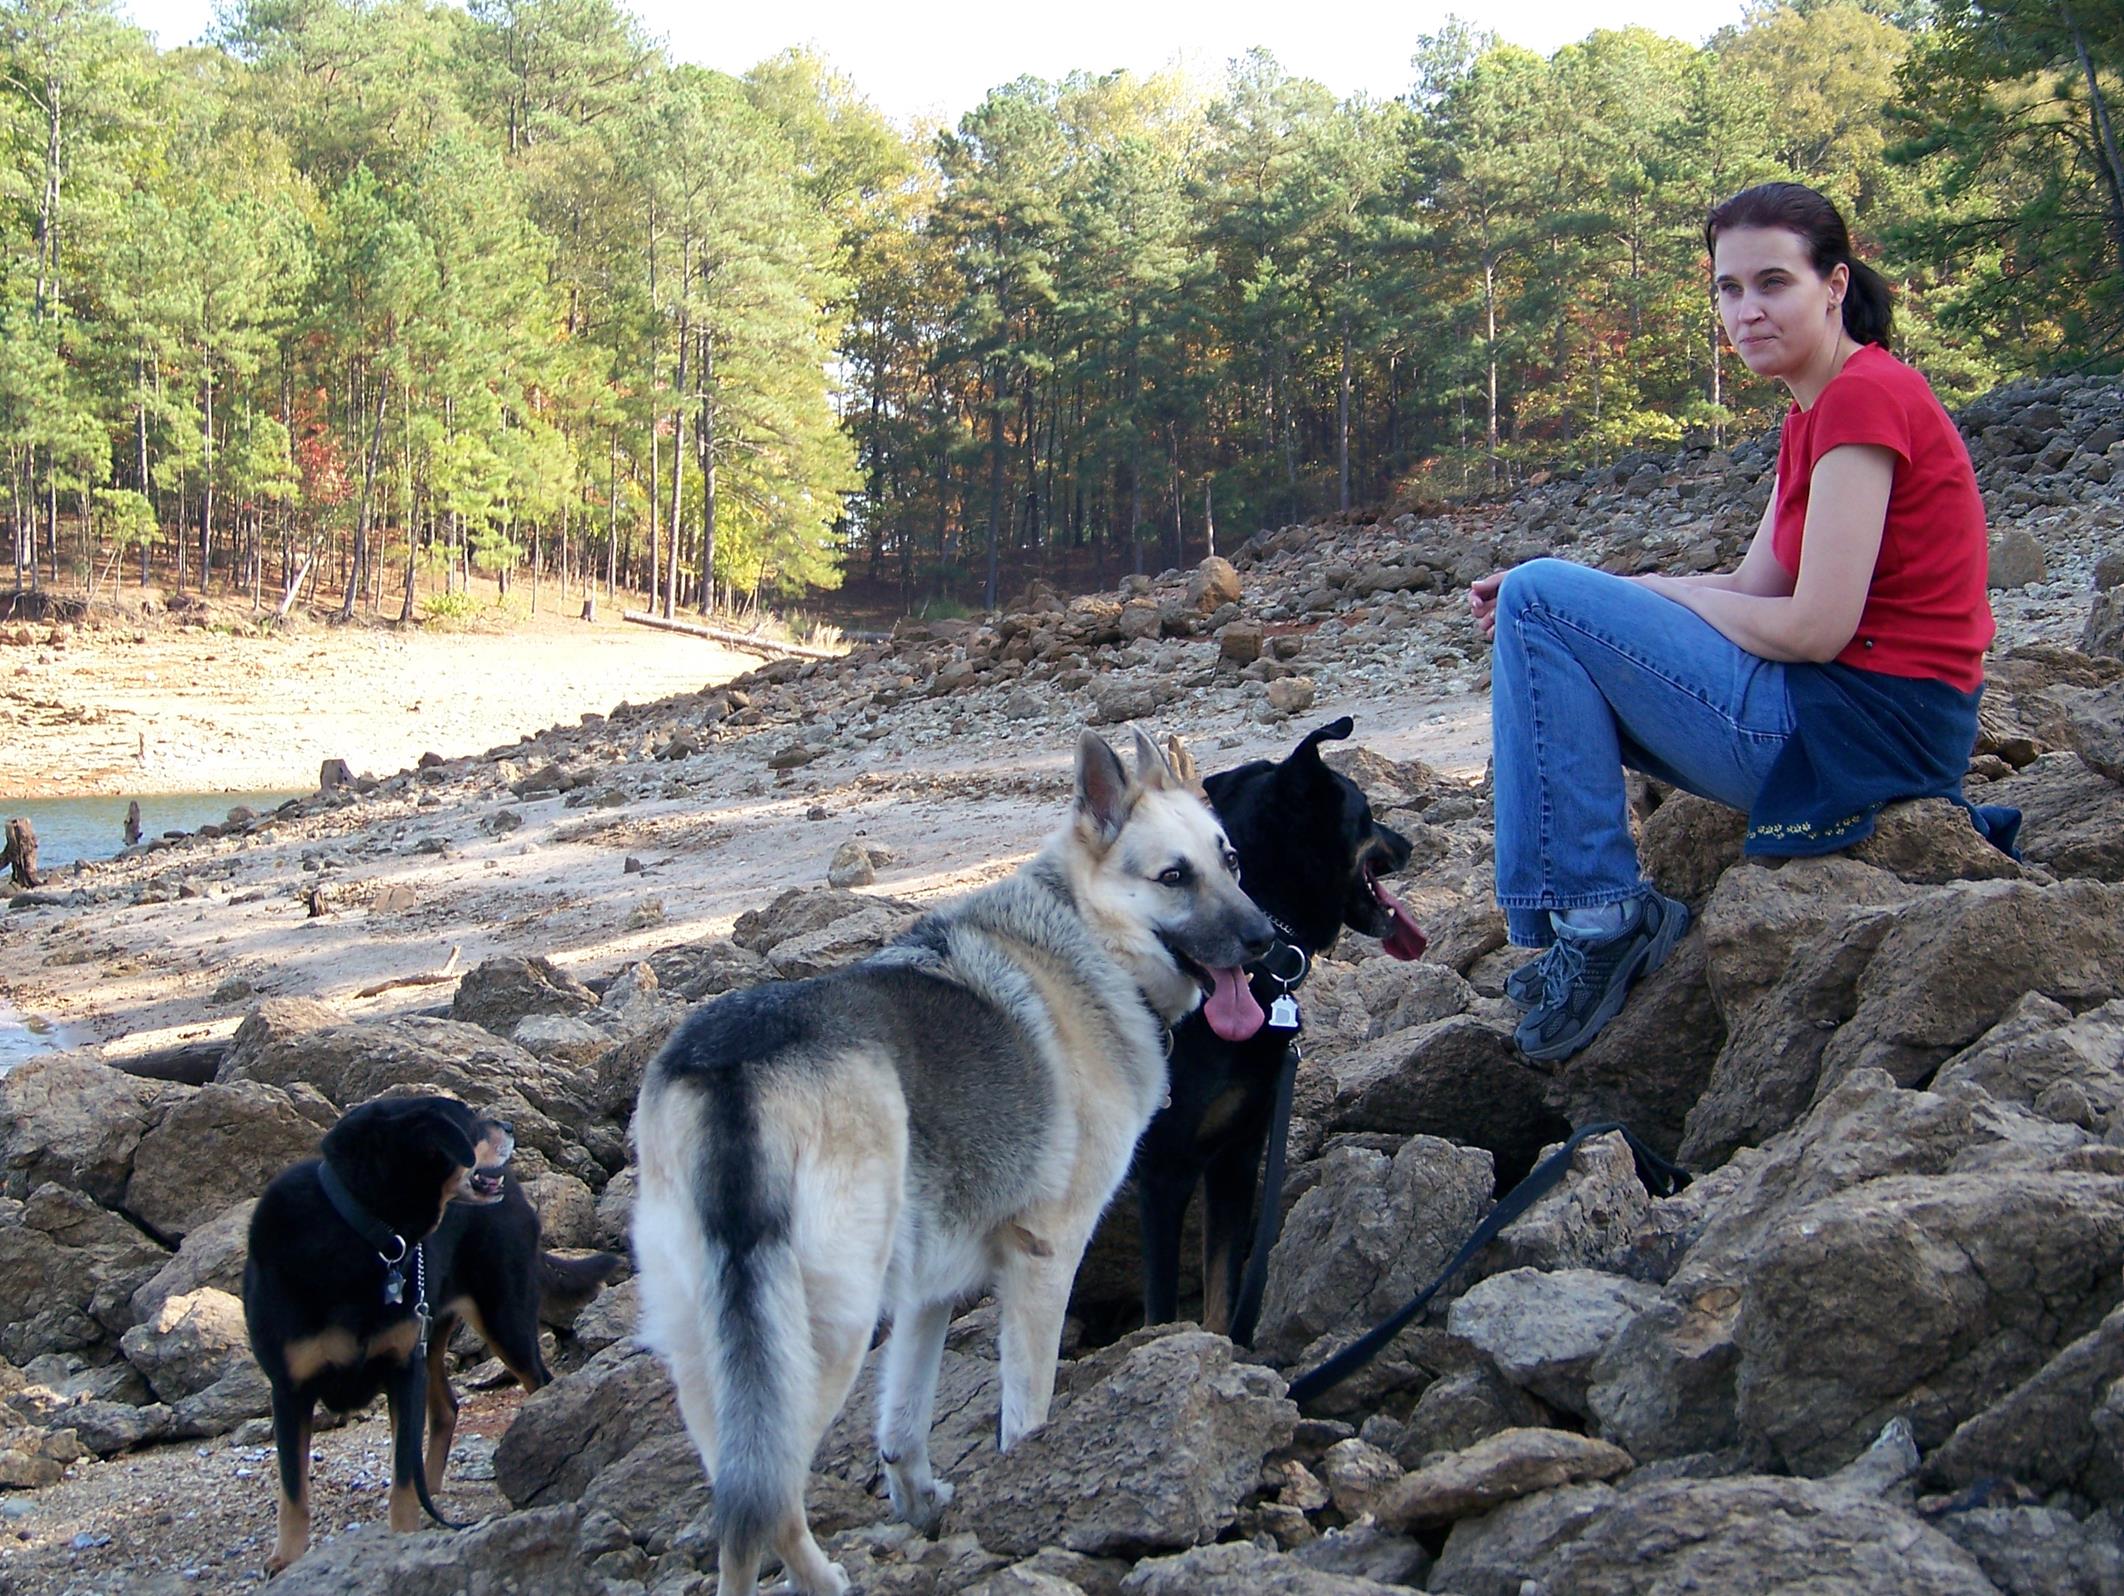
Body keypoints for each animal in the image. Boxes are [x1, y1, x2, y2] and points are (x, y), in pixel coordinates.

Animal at [245, 1096, 620, 1572]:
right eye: (466, 1121)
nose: (509, 1125)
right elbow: (294, 1488)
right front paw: (288, 1559)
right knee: (447, 1409)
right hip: (433, 1337)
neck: (363, 1235)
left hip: (503, 1318)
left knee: (539, 1383)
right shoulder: (291, 1389)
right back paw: (435, 1487)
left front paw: (403, 1538)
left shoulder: (402, 1371)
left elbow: (403, 1477)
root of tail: (519, 1192)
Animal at [624, 726, 1257, 1596]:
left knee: (734, 1497)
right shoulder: (1044, 1261)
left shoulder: (927, 1287)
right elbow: (1027, 1409)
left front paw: (919, 1501)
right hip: (827, 1329)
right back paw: (828, 1582)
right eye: (1173, 877)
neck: (1084, 936)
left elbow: (904, 1419)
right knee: (774, 1494)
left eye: (1232, 862)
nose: (1271, 942)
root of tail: (734, 1065)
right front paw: (1027, 1482)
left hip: (707, 1341)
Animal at [1129, 718, 1427, 1343]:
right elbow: (1161, 1305)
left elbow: (1224, 1292)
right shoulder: (1165, 1170)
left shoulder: (1239, 1151)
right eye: (1367, 814)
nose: (1408, 843)